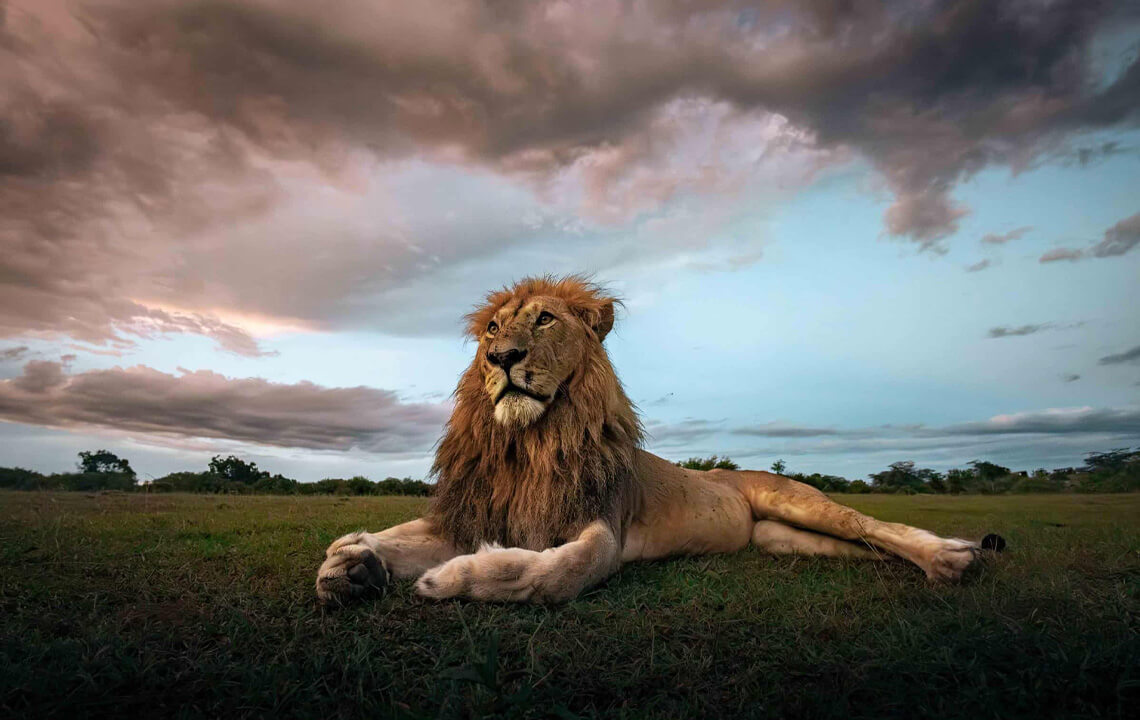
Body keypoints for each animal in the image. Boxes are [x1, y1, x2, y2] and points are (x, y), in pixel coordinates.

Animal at [316, 275, 1002, 604]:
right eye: (490, 327)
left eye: (545, 319)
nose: (501, 357)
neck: (531, 444)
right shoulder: (476, 510)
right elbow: (402, 538)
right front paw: (353, 563)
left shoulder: (603, 528)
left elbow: (552, 575)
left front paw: (449, 579)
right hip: (780, 539)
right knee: (861, 546)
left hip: (791, 498)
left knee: (873, 525)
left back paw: (951, 557)